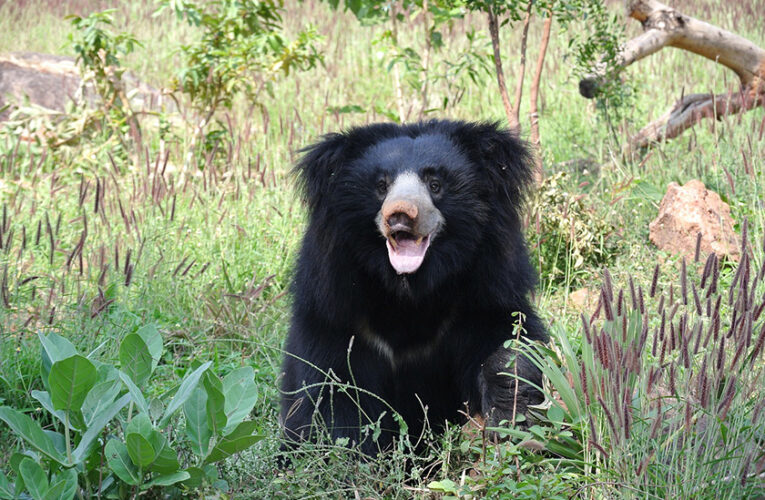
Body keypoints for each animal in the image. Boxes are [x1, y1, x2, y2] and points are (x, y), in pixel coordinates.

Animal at [280, 120, 547, 456]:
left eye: (435, 184)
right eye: (382, 185)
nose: (400, 215)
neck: (409, 290)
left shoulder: (484, 291)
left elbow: (508, 338)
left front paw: (509, 404)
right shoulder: (334, 309)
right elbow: (332, 390)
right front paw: (350, 452)